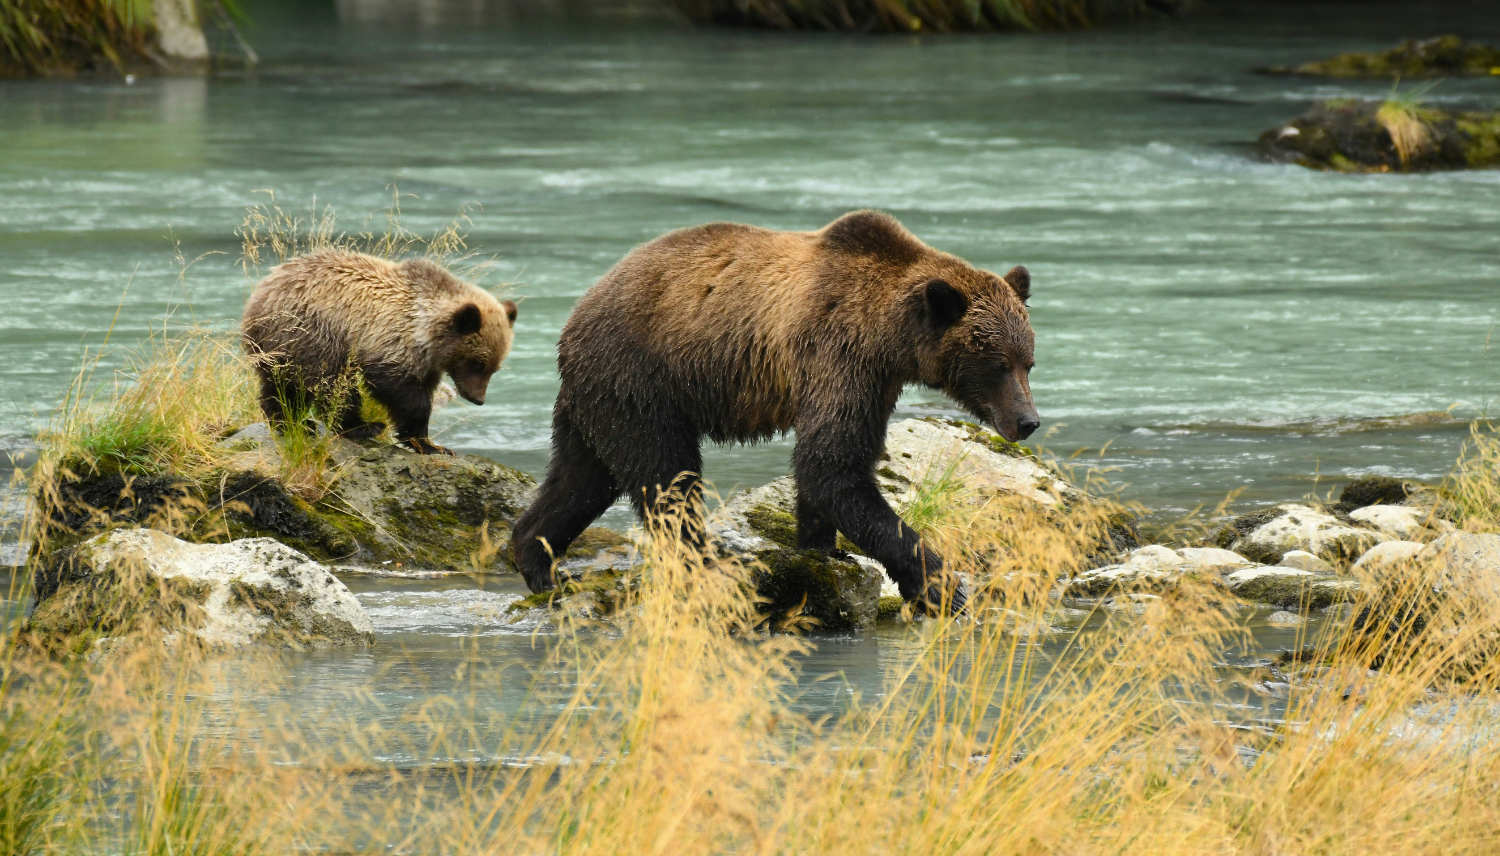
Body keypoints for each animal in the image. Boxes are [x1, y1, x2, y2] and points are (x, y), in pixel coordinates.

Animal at [241, 250, 518, 455]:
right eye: (477, 363)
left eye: (495, 367)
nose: (478, 398)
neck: (427, 335)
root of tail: (259, 295)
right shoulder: (390, 341)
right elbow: (402, 392)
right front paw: (427, 443)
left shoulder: (427, 363)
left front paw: (431, 443)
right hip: (312, 334)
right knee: (332, 385)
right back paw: (362, 426)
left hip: (282, 347)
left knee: (280, 386)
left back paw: (293, 422)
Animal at [510, 210, 1038, 612]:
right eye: (998, 365)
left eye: (1029, 361)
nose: (1028, 421)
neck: (889, 335)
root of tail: (574, 319)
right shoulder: (837, 352)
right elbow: (833, 465)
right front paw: (941, 585)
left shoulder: (874, 381)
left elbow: (831, 467)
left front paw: (822, 547)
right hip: (642, 380)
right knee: (667, 477)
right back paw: (706, 564)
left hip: (598, 401)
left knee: (581, 479)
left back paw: (541, 562)